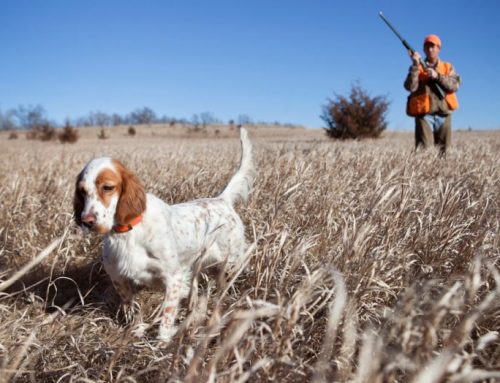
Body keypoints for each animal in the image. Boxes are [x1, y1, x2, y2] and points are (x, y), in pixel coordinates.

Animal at [73, 128, 258, 342]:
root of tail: (222, 200)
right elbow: (131, 308)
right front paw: (135, 329)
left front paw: (161, 342)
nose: (86, 221)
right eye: (82, 191)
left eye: (108, 187)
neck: (129, 232)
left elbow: (166, 317)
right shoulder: (119, 278)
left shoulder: (174, 278)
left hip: (227, 267)